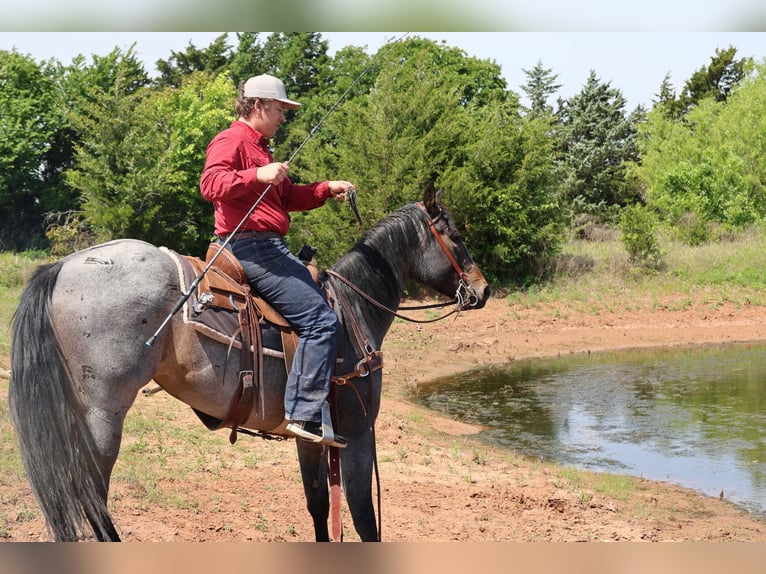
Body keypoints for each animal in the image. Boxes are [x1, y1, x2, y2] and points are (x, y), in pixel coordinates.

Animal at [8, 182, 490, 542]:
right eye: (455, 236)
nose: (482, 290)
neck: (353, 307)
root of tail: (63, 266)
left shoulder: (310, 436)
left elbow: (319, 507)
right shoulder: (356, 432)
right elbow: (363, 518)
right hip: (102, 417)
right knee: (91, 495)